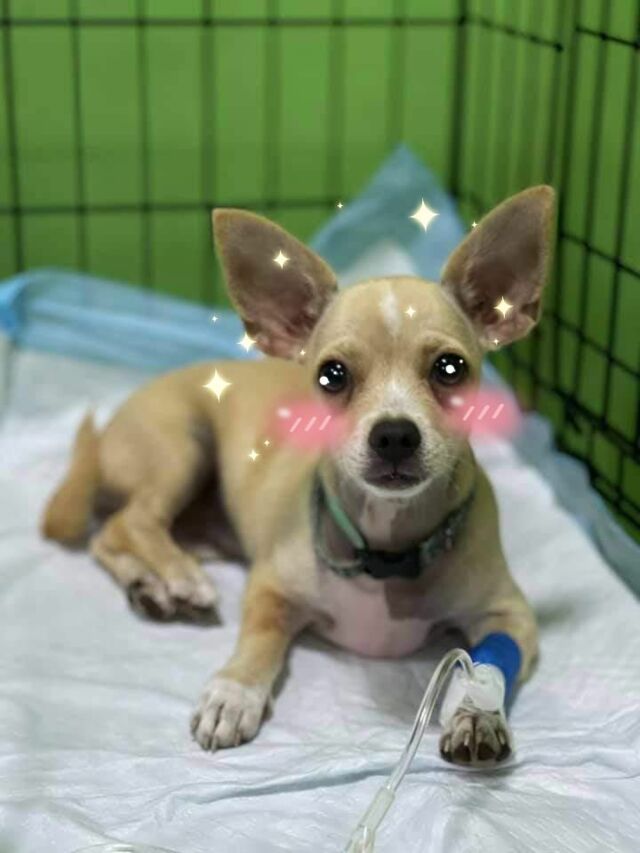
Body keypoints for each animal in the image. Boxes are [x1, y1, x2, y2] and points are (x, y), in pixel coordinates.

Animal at [42, 185, 554, 765]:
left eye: (451, 369)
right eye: (332, 375)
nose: (394, 434)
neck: (384, 548)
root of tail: (105, 434)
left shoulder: (510, 615)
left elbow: (489, 663)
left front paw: (476, 713)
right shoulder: (269, 589)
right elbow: (259, 640)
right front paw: (234, 691)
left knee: (108, 537)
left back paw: (150, 586)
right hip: (181, 450)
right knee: (131, 522)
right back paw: (178, 578)